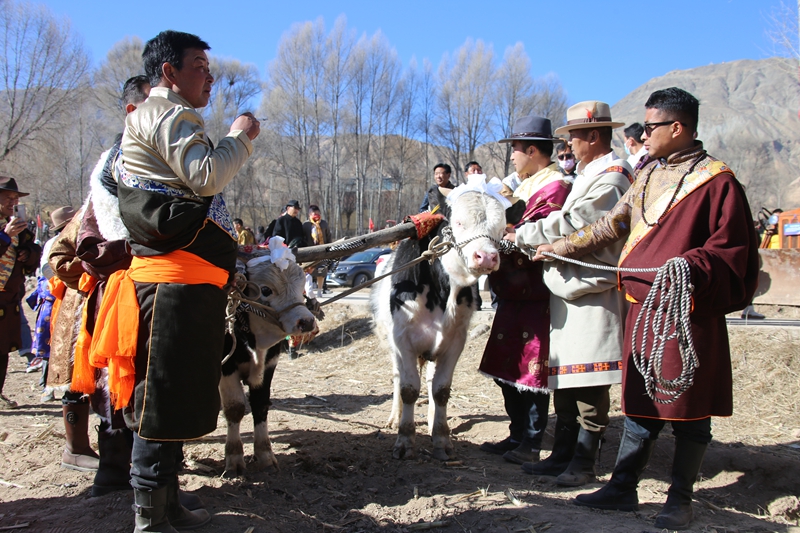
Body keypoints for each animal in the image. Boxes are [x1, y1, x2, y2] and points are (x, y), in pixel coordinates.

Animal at [220, 239, 320, 476]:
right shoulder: (226, 367)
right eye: (265, 289)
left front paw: (265, 454)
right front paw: (234, 457)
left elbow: (260, 405)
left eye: (302, 285)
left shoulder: (269, 365)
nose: (306, 322)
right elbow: (235, 408)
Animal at [372, 177, 510, 460]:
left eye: (501, 228)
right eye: (457, 223)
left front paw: (442, 438)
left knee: (429, 381)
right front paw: (404, 440)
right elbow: (409, 389)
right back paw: (394, 418)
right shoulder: (403, 341)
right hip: (391, 344)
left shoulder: (455, 341)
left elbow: (441, 390)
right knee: (398, 378)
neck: (442, 292)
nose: (487, 257)